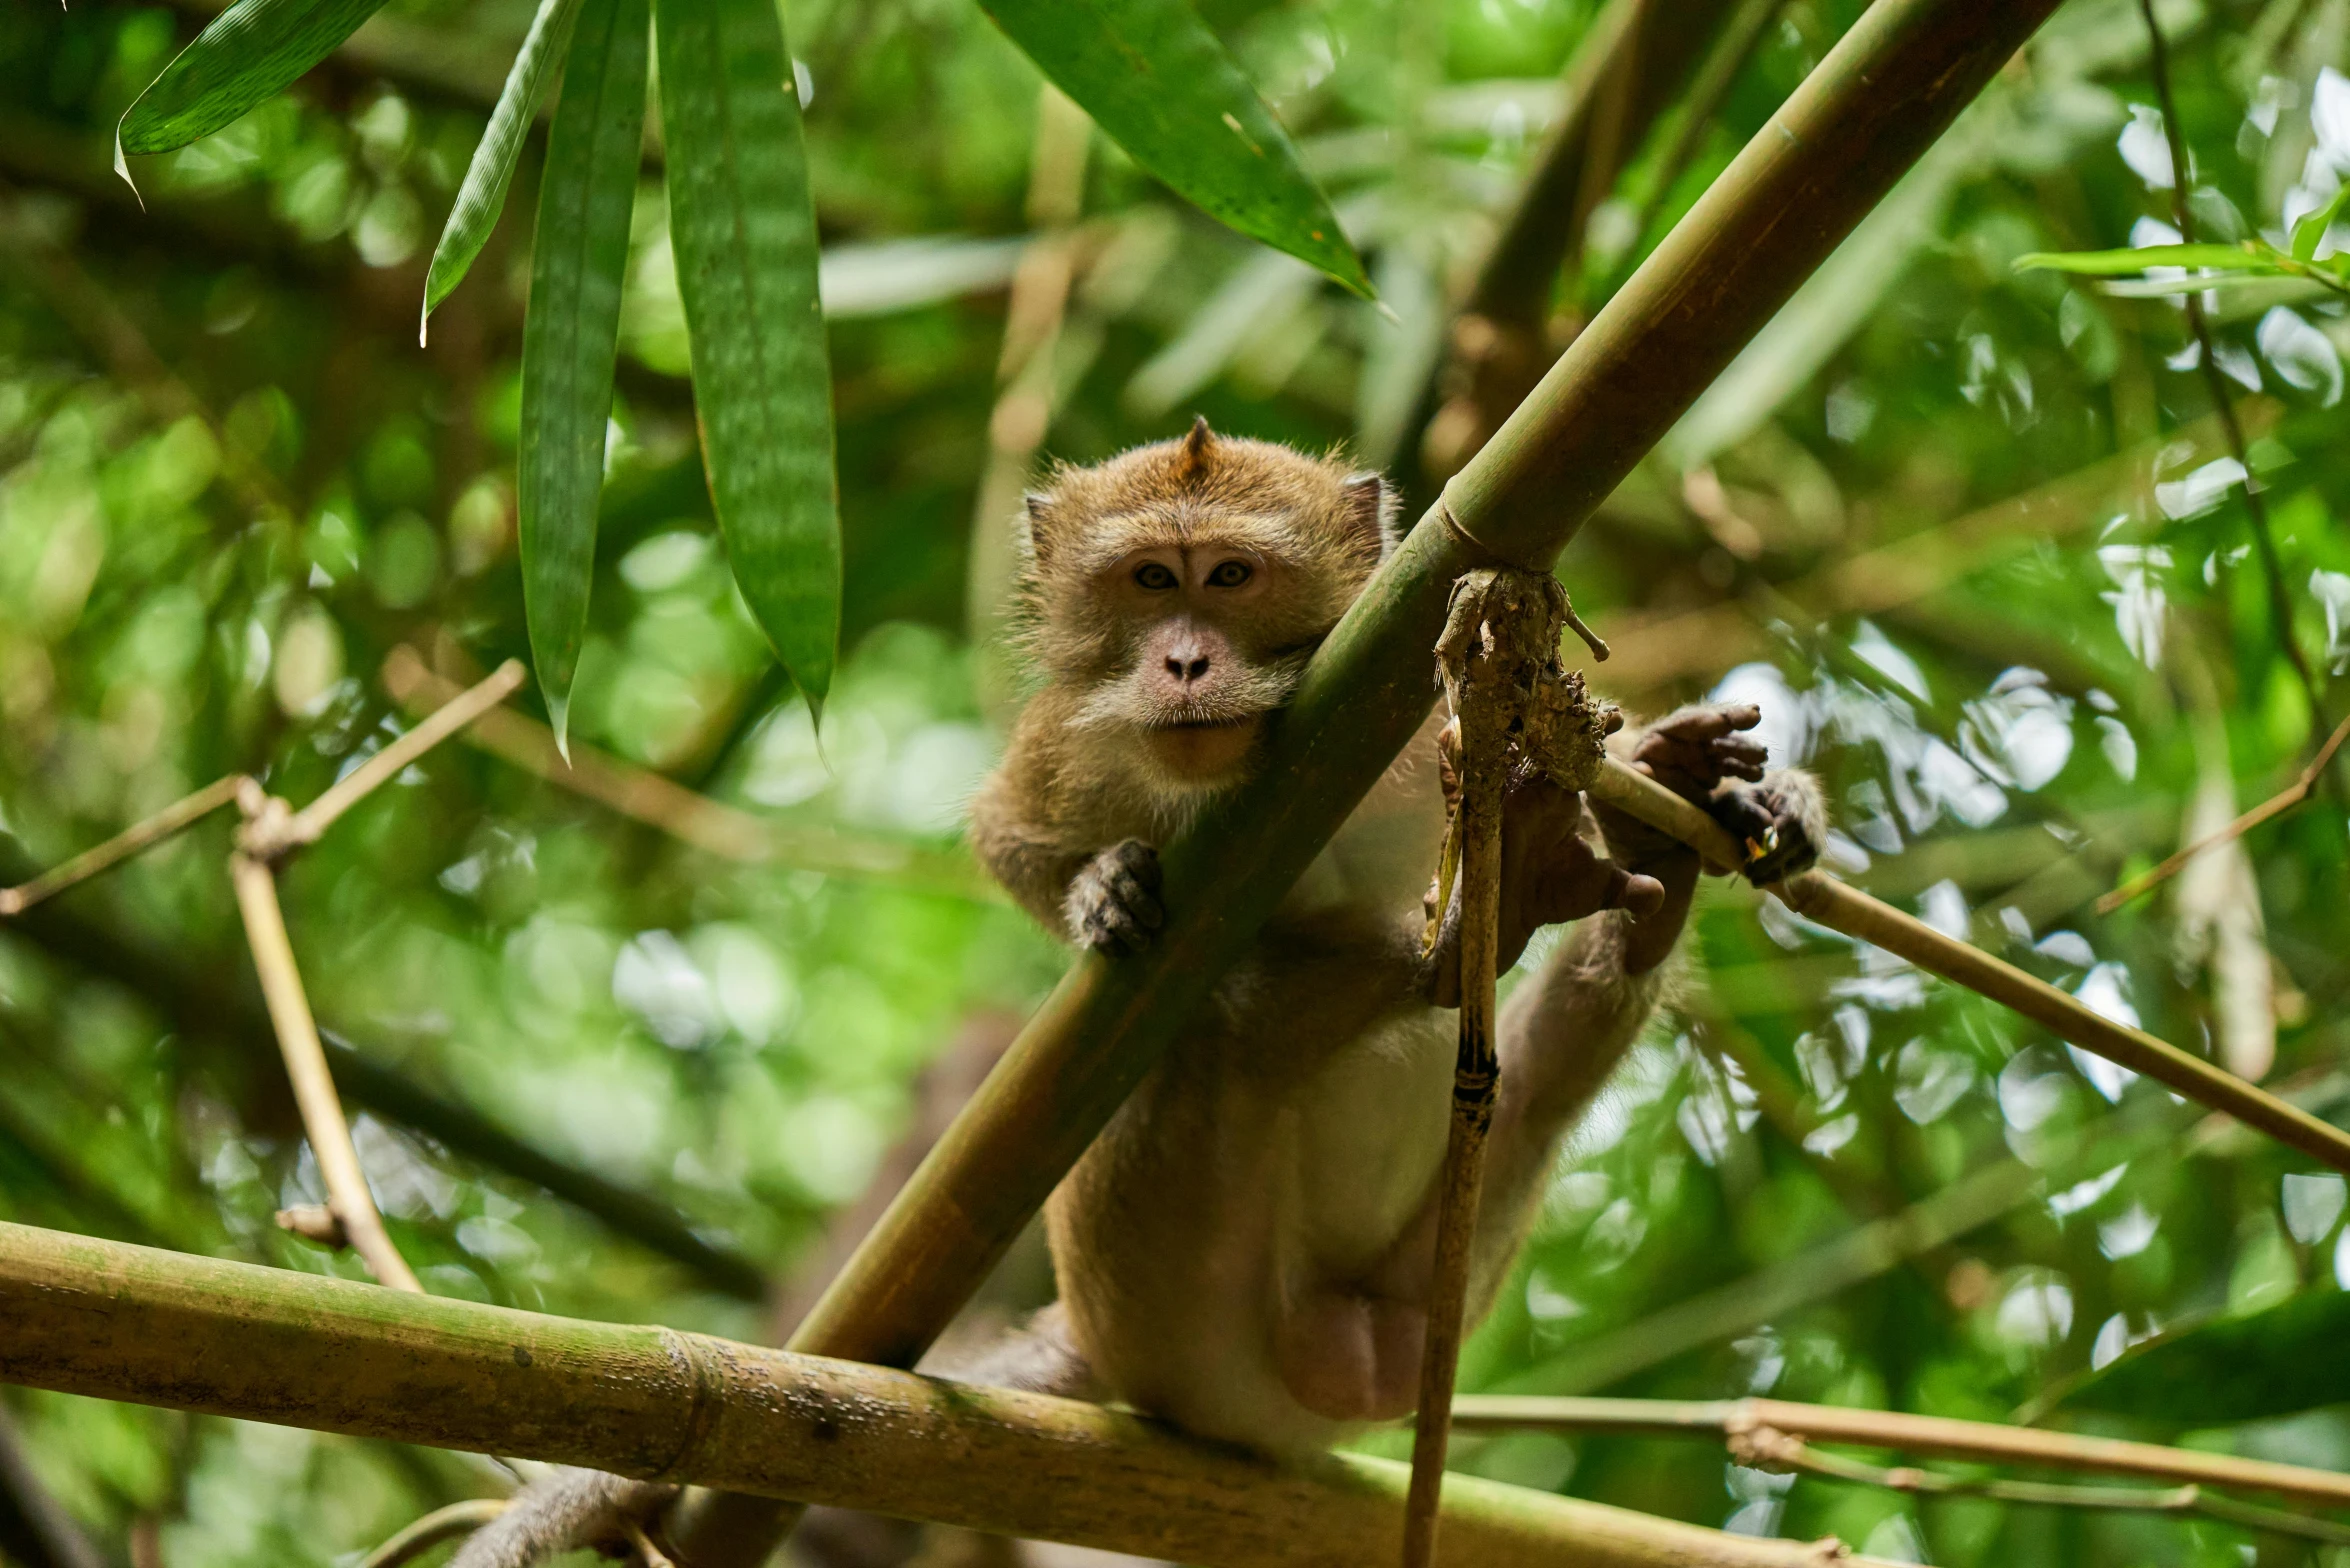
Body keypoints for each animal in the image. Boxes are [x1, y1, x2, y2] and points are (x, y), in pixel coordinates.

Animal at [448, 420, 1823, 1568]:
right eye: (1151, 582)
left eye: (1232, 577)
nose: (1184, 659)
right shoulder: (1065, 741)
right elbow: (1010, 840)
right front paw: (1097, 888)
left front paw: (1747, 796)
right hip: (1172, 1318)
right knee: (1204, 1026)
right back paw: (1472, 932)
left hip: (1451, 1267)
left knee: (1518, 1077)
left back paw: (1632, 884)